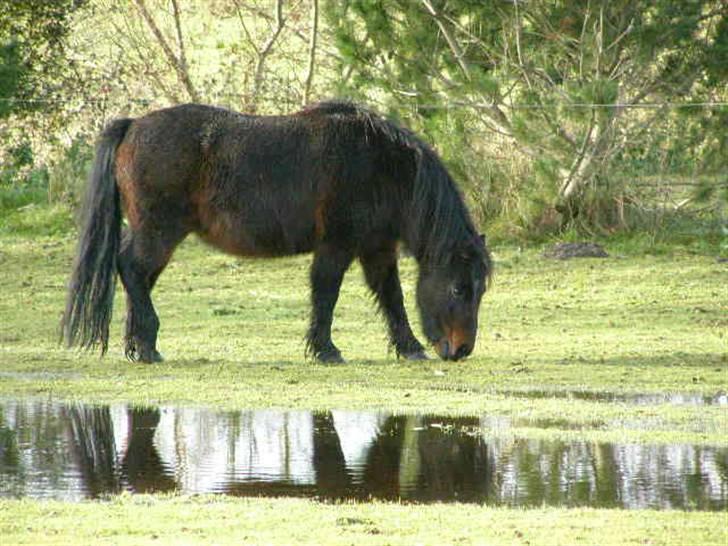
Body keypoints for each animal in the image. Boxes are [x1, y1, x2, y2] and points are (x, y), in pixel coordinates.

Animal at [62, 101, 492, 362]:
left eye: (480, 290)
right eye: (459, 289)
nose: (462, 349)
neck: (381, 167)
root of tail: (133, 125)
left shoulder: (378, 249)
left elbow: (392, 297)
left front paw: (409, 347)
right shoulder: (336, 246)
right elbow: (326, 294)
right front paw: (325, 349)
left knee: (137, 277)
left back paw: (138, 345)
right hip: (160, 233)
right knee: (132, 270)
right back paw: (148, 344)